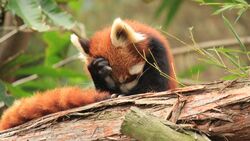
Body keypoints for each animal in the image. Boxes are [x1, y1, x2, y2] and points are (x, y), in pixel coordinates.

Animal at [0, 18, 177, 131]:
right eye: (113, 81)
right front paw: (98, 70)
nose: (124, 91)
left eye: (131, 77)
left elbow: (154, 88)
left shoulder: (158, 56)